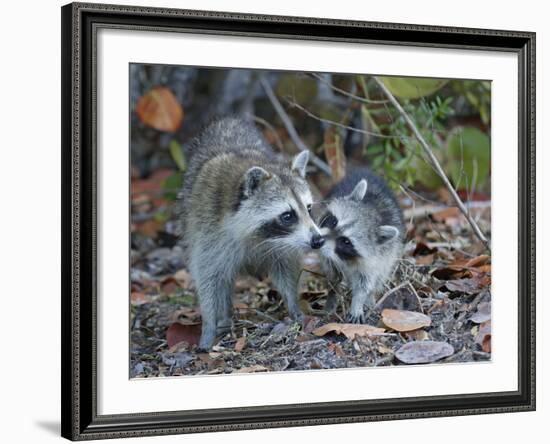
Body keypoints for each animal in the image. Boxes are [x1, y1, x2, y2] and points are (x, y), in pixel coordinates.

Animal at [179, 118, 326, 350]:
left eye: (309, 208)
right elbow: (208, 277)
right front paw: (209, 325)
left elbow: (286, 268)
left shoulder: (283, 244)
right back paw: (224, 317)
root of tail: (228, 121)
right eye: (287, 215)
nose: (318, 240)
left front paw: (293, 305)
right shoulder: (208, 230)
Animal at [316, 167, 408, 322]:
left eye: (346, 241)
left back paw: (370, 299)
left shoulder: (377, 256)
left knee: (381, 275)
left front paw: (358, 302)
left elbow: (365, 282)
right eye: (333, 221)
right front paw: (333, 294)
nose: (317, 241)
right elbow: (332, 273)